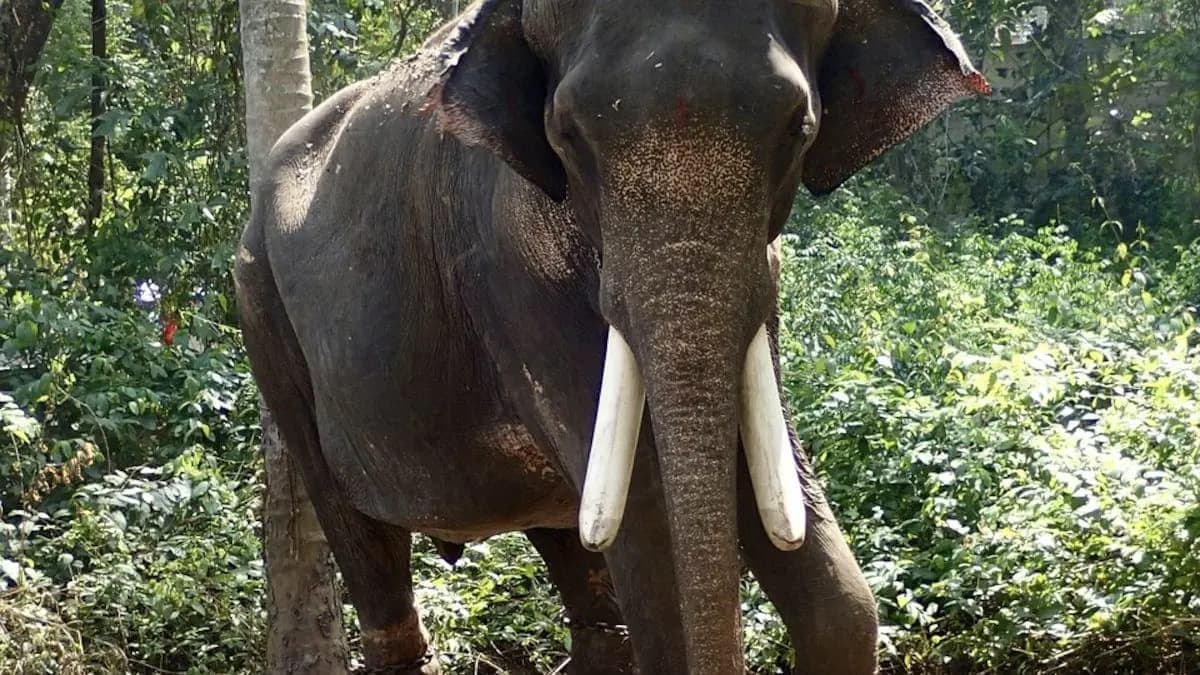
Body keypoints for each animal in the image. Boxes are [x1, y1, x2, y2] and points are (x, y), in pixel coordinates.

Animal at [234, 1, 987, 673]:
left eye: (800, 129)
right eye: (567, 133)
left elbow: (830, 593)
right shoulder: (506, 272)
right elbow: (654, 536)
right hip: (262, 310)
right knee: (368, 552)